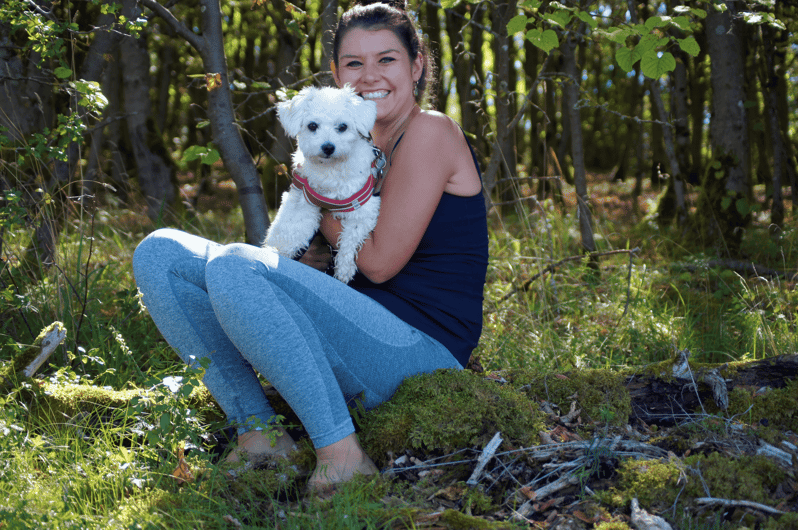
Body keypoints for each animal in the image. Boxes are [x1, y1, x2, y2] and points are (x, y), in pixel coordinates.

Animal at [264, 84, 382, 282]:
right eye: (312, 126)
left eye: (343, 127)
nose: (328, 147)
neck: (330, 170)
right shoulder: (302, 201)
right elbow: (291, 230)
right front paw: (280, 253)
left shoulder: (364, 209)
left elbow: (350, 236)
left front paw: (344, 268)